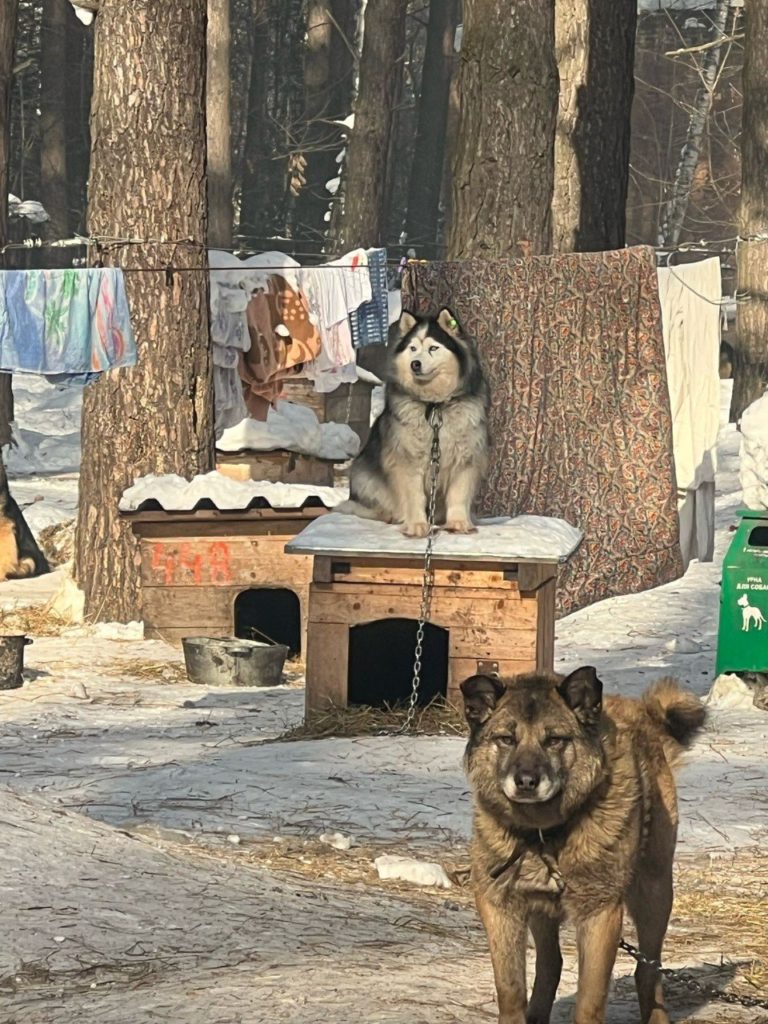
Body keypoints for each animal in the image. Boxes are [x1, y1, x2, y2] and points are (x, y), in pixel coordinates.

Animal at [337, 309, 493, 536]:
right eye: (412, 349)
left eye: (433, 348)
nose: (415, 364)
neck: (435, 404)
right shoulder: (408, 459)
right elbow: (414, 495)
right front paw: (417, 525)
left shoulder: (465, 457)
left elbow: (458, 494)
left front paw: (458, 523)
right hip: (364, 475)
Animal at [462, 663, 708, 1024]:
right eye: (506, 739)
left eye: (555, 740)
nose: (526, 782)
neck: (544, 833)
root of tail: (642, 714)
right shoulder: (499, 906)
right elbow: (511, 992)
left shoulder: (600, 914)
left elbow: (589, 1001)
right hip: (542, 909)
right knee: (551, 963)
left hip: (654, 892)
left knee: (647, 971)